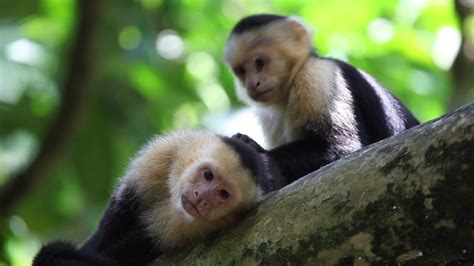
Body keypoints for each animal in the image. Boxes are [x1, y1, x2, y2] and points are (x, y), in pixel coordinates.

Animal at [35, 130, 286, 266]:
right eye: (208, 175)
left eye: (223, 194)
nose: (202, 198)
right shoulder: (159, 159)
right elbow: (119, 214)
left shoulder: (186, 228)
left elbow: (138, 245)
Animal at [224, 13, 420, 182]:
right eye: (241, 71)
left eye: (260, 62)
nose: (252, 84)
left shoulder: (316, 75)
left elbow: (342, 148)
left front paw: (257, 151)